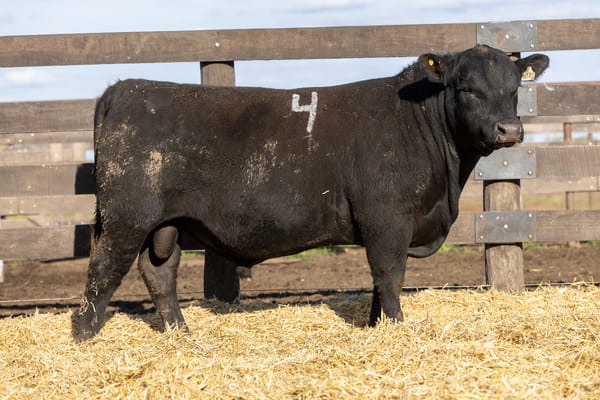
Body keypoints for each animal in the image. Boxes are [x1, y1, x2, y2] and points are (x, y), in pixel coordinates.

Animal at [72, 45, 548, 340]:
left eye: (515, 89)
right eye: (466, 88)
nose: (509, 130)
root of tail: (125, 88)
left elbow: (378, 282)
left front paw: (376, 326)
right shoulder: (387, 219)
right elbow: (390, 276)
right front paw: (396, 328)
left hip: (166, 223)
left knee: (158, 272)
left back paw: (181, 333)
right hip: (125, 217)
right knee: (102, 271)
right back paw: (82, 337)